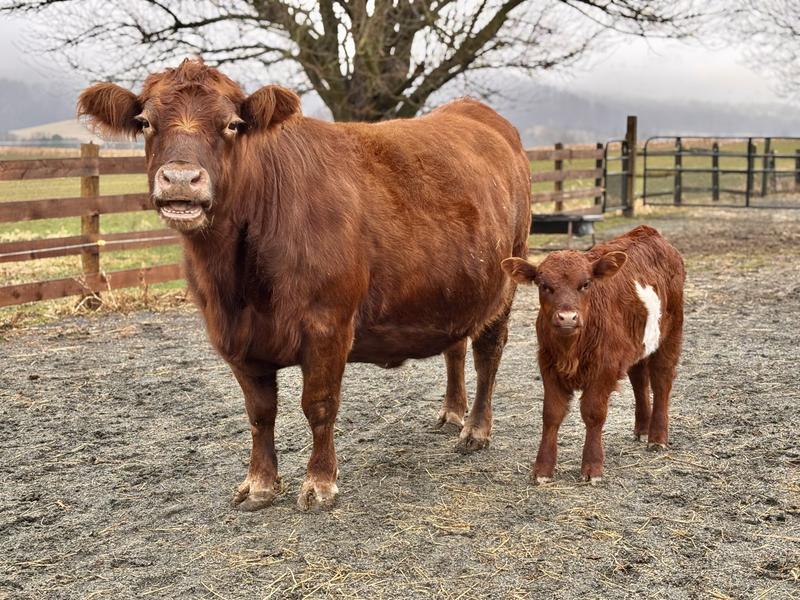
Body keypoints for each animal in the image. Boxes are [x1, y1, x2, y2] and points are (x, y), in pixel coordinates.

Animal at [77, 59, 532, 511]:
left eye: (232, 124)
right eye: (145, 122)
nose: (180, 179)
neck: (239, 285)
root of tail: (474, 111)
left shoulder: (329, 325)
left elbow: (319, 405)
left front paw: (319, 482)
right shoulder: (234, 338)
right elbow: (260, 413)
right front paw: (259, 483)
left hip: (507, 276)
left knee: (488, 355)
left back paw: (475, 429)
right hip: (456, 288)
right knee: (456, 346)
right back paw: (452, 413)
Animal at [501, 225, 684, 484]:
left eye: (585, 284)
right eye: (544, 285)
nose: (567, 317)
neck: (571, 350)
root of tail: (647, 231)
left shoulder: (604, 367)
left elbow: (593, 413)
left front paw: (592, 466)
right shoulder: (548, 365)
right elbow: (551, 414)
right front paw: (543, 469)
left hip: (671, 331)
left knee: (661, 381)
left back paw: (657, 437)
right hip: (638, 342)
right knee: (639, 380)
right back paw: (642, 428)